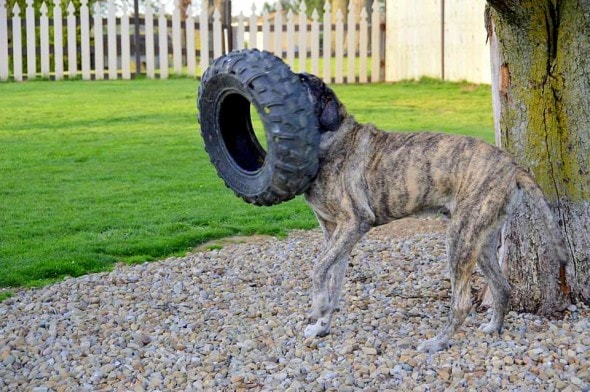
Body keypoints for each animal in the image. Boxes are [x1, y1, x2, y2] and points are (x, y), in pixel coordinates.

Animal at [300, 73, 568, 352]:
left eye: (301, 81)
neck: (333, 140)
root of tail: (513, 167)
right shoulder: (336, 234)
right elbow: (333, 282)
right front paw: (322, 325)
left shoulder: (354, 223)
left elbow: (319, 267)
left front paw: (318, 306)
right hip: (482, 241)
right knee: (502, 287)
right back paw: (493, 327)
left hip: (460, 238)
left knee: (461, 303)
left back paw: (437, 342)